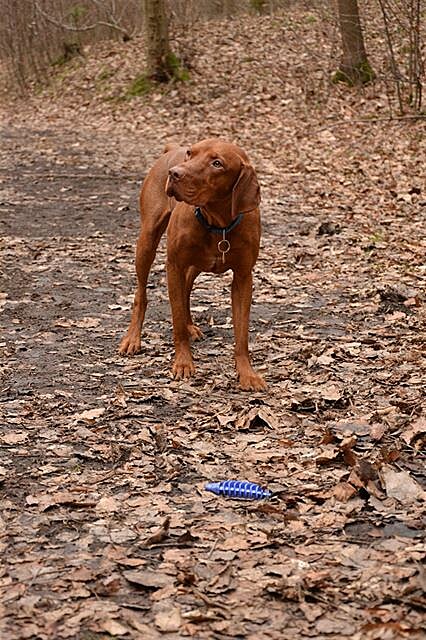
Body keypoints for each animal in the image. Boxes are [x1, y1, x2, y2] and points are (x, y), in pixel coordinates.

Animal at [120, 139, 266, 390]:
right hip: (147, 241)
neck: (218, 223)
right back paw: (132, 338)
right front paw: (183, 363)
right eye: (190, 153)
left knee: (187, 287)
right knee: (141, 293)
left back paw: (190, 326)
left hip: (197, 263)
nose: (174, 173)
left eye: (217, 163)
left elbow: (242, 333)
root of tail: (171, 150)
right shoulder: (173, 266)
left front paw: (247, 373)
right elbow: (176, 320)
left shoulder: (243, 277)